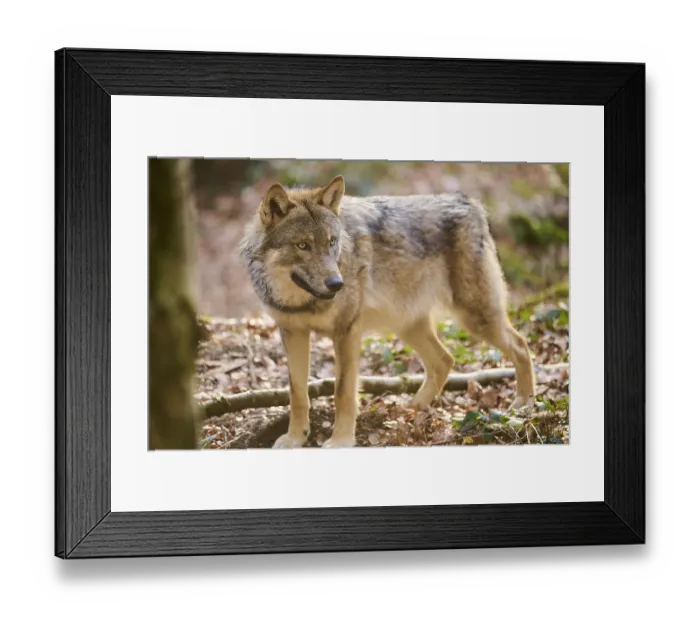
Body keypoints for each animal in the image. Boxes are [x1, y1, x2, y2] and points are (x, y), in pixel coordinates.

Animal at [240, 175, 536, 448]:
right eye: (302, 245)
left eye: (332, 242)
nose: (337, 284)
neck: (301, 300)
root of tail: (466, 201)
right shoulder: (293, 333)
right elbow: (297, 393)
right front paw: (295, 438)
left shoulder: (346, 331)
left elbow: (342, 391)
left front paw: (341, 441)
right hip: (408, 325)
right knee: (445, 360)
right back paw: (411, 409)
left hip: (475, 318)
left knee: (521, 346)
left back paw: (524, 403)